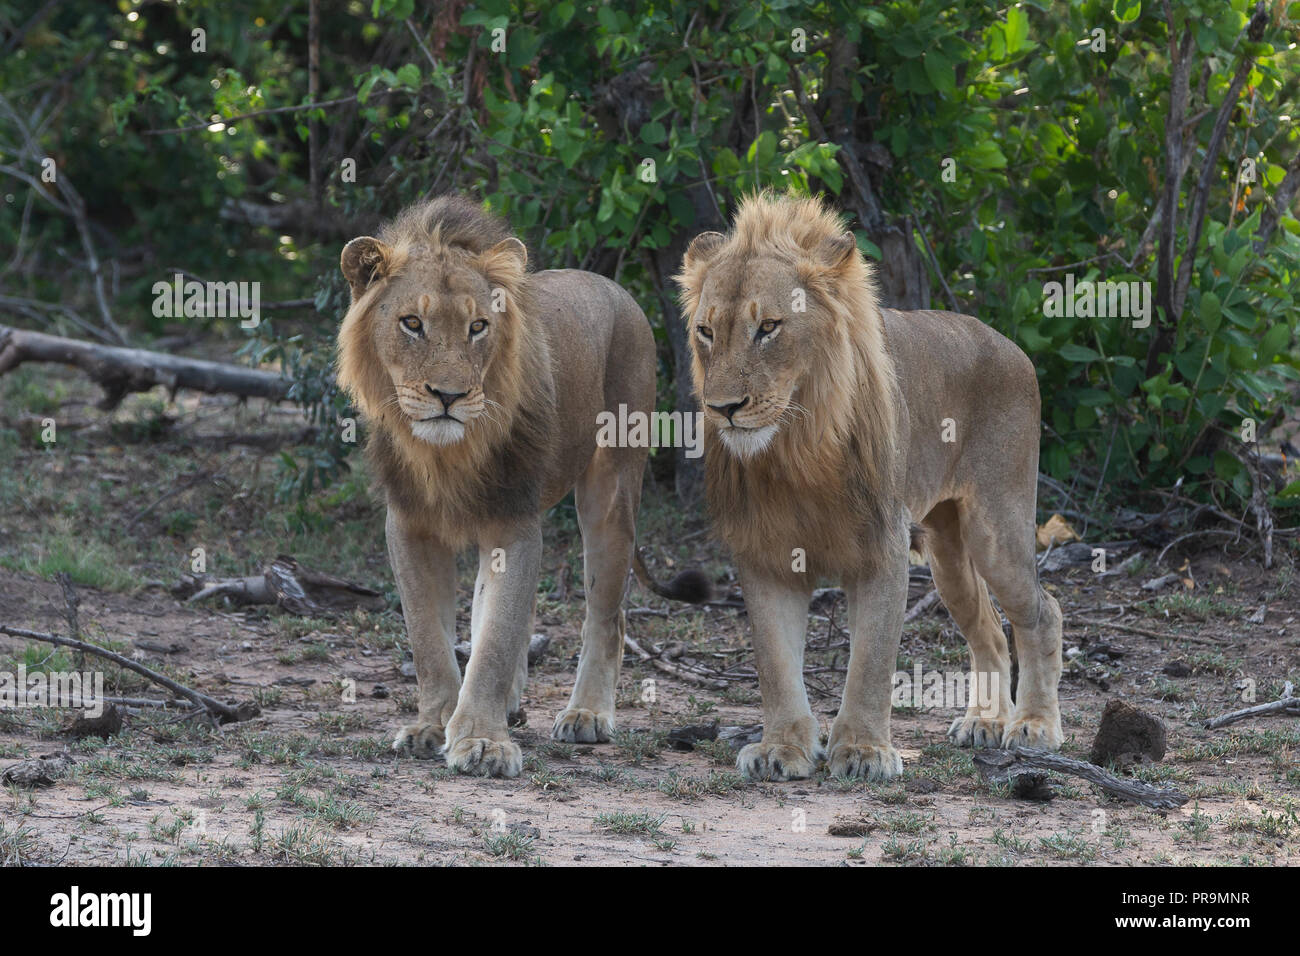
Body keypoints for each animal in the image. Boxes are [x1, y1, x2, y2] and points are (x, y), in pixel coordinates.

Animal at [338, 196, 702, 780]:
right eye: (411, 323)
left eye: (478, 326)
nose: (449, 396)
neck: (446, 454)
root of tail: (613, 286)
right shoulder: (410, 526)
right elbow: (430, 639)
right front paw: (433, 725)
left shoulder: (513, 524)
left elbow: (495, 640)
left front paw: (482, 742)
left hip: (611, 491)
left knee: (607, 614)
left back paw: (587, 715)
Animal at [676, 191, 1060, 780]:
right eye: (706, 332)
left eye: (768, 327)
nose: (723, 408)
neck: (795, 449)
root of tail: (1008, 343)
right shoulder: (764, 554)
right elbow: (775, 664)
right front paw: (781, 748)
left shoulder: (882, 548)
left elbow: (872, 662)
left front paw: (862, 750)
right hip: (947, 551)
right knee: (990, 628)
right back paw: (985, 723)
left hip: (998, 529)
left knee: (1042, 611)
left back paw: (1034, 726)